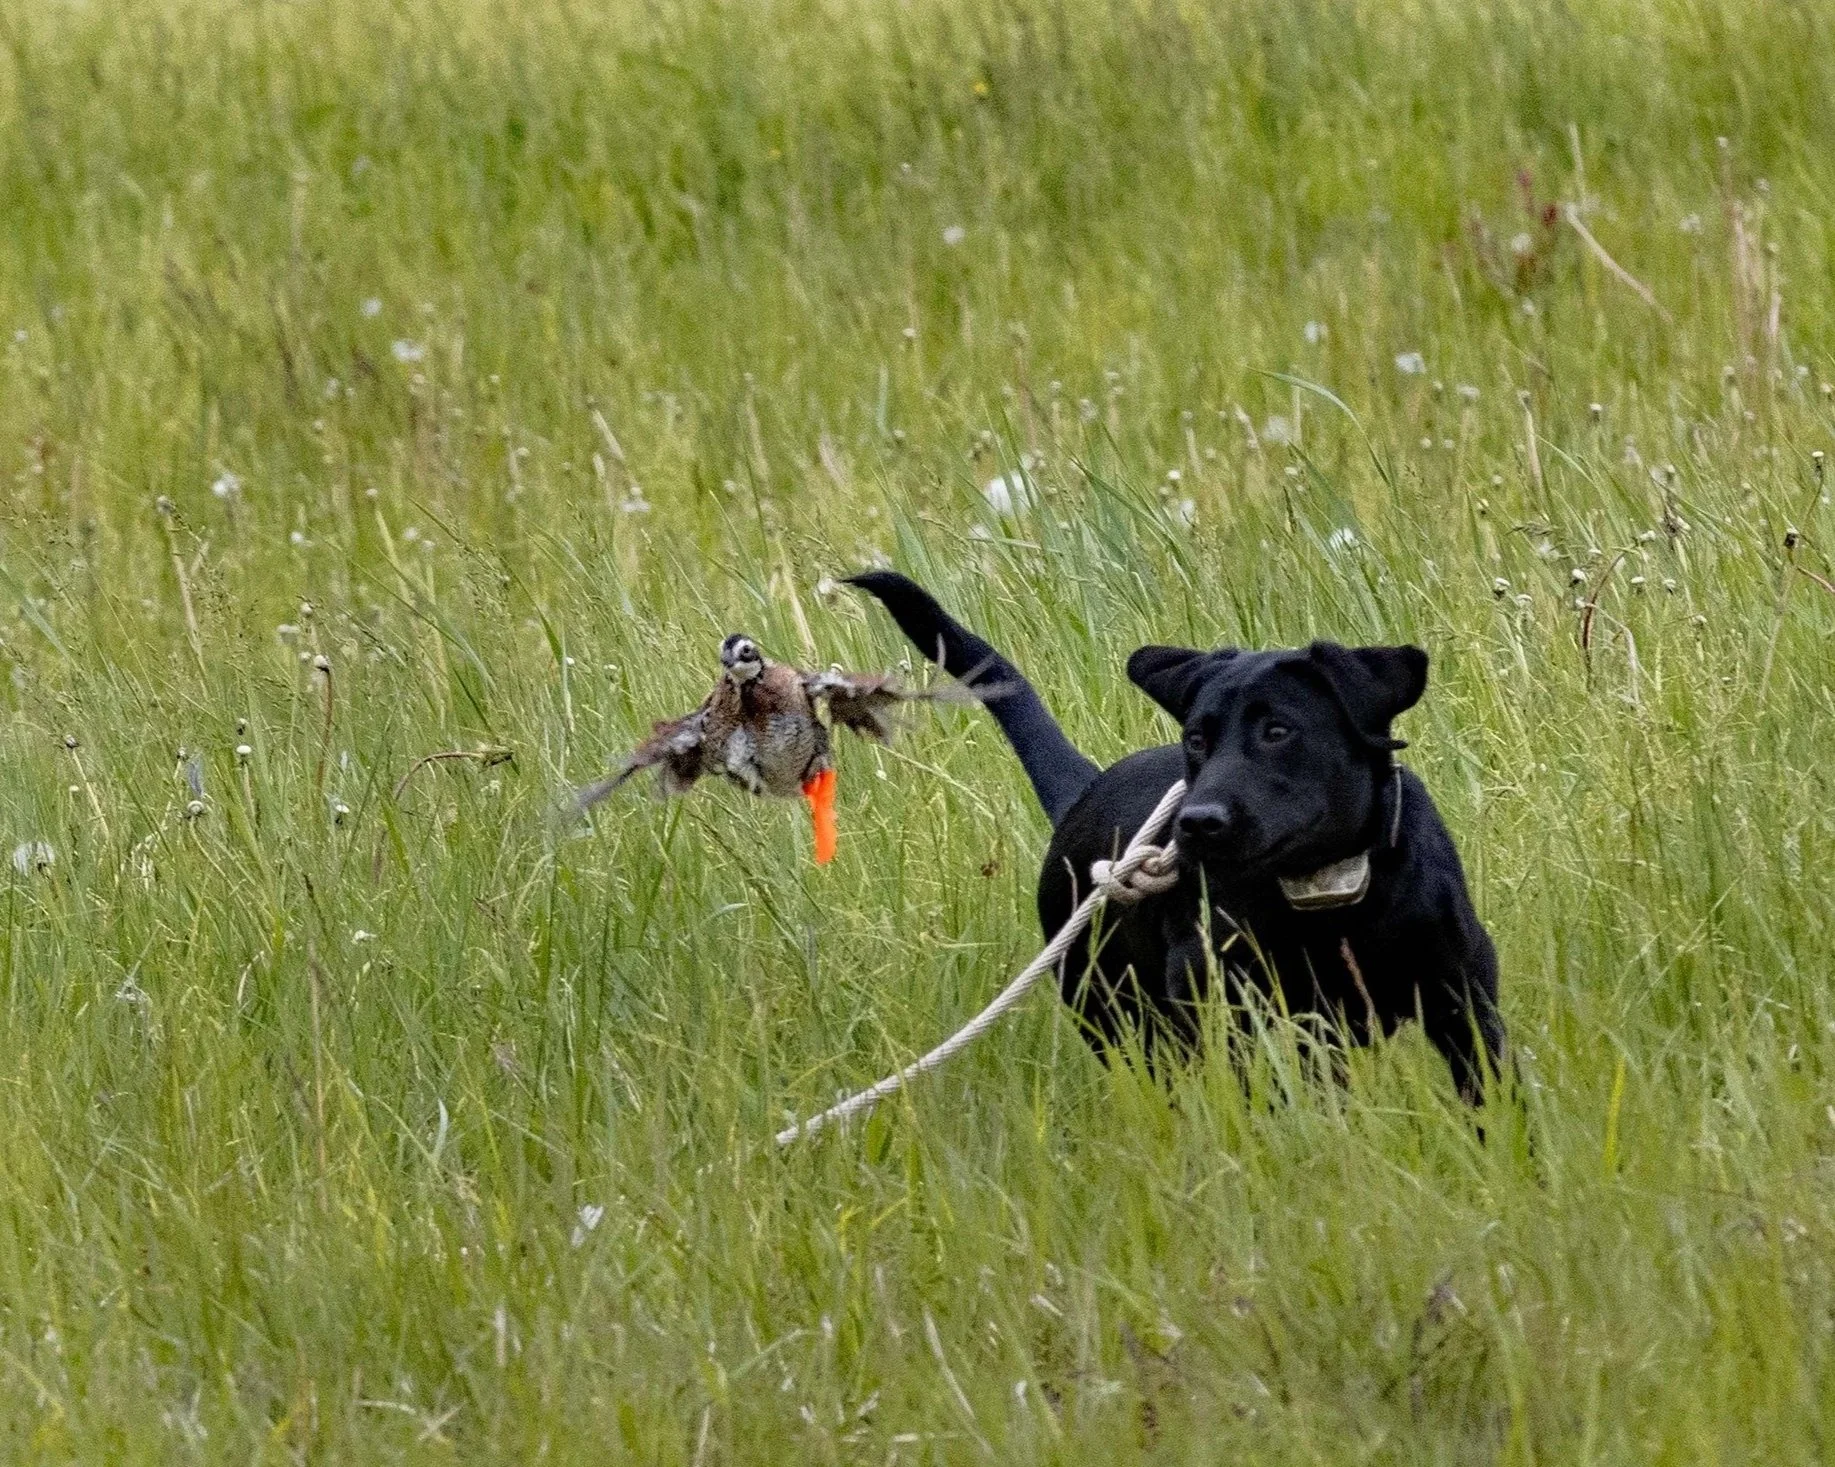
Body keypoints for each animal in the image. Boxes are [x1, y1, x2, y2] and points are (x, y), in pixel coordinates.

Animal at [849, 571, 1504, 1102]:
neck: (1328, 890)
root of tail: (1085, 791)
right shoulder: (1224, 997)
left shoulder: (1463, 994)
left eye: (1277, 730)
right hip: (1113, 1009)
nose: (1198, 823)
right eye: (1195, 739)